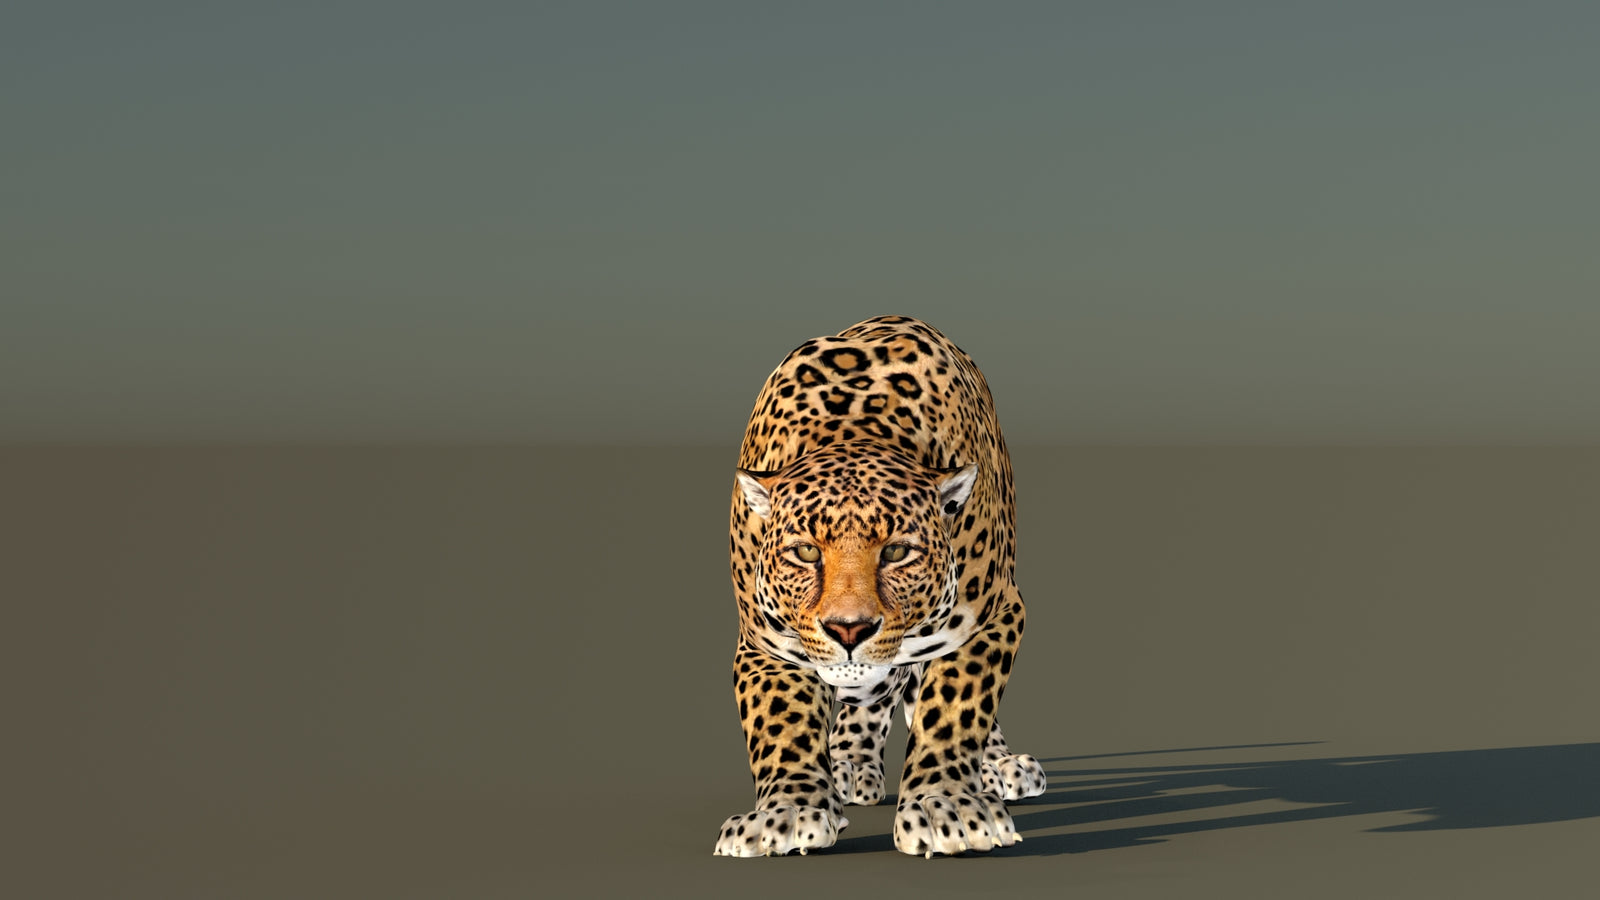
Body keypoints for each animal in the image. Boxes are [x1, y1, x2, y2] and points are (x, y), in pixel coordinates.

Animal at [713, 315, 1046, 859]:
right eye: (806, 552)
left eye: (896, 552)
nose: (849, 629)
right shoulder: (766, 644)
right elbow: (781, 723)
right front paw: (788, 812)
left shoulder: (995, 615)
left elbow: (956, 705)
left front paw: (945, 806)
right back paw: (846, 764)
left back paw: (999, 765)